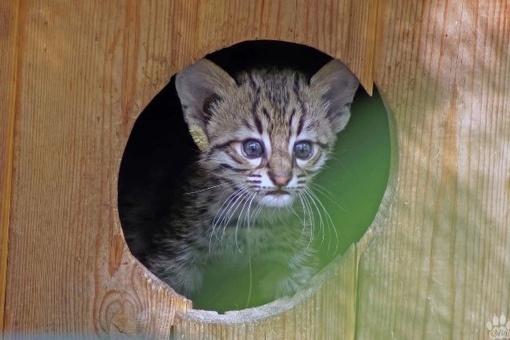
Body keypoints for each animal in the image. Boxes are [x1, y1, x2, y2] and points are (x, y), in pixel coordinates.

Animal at [141, 58, 356, 300]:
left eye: (303, 149)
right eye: (252, 148)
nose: (281, 179)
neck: (251, 220)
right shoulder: (172, 257)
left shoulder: (299, 262)